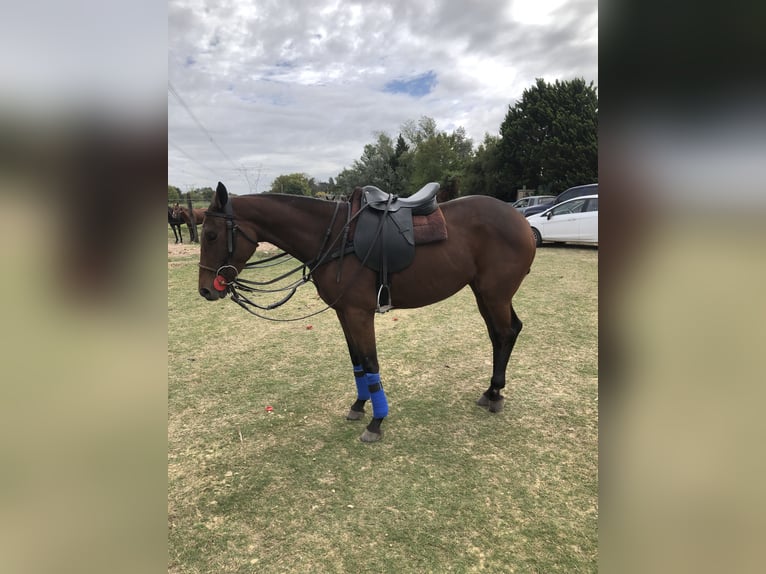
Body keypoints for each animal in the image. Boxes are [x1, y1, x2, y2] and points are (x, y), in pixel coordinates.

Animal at [195, 182, 536, 444]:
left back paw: (495, 393)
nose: (206, 290)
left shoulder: (360, 313)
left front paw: (377, 421)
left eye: (211, 235)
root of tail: (519, 219)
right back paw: (491, 391)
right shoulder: (344, 312)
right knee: (504, 333)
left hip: (494, 294)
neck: (334, 236)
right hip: (484, 293)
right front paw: (359, 405)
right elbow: (357, 361)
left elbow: (370, 363)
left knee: (504, 333)